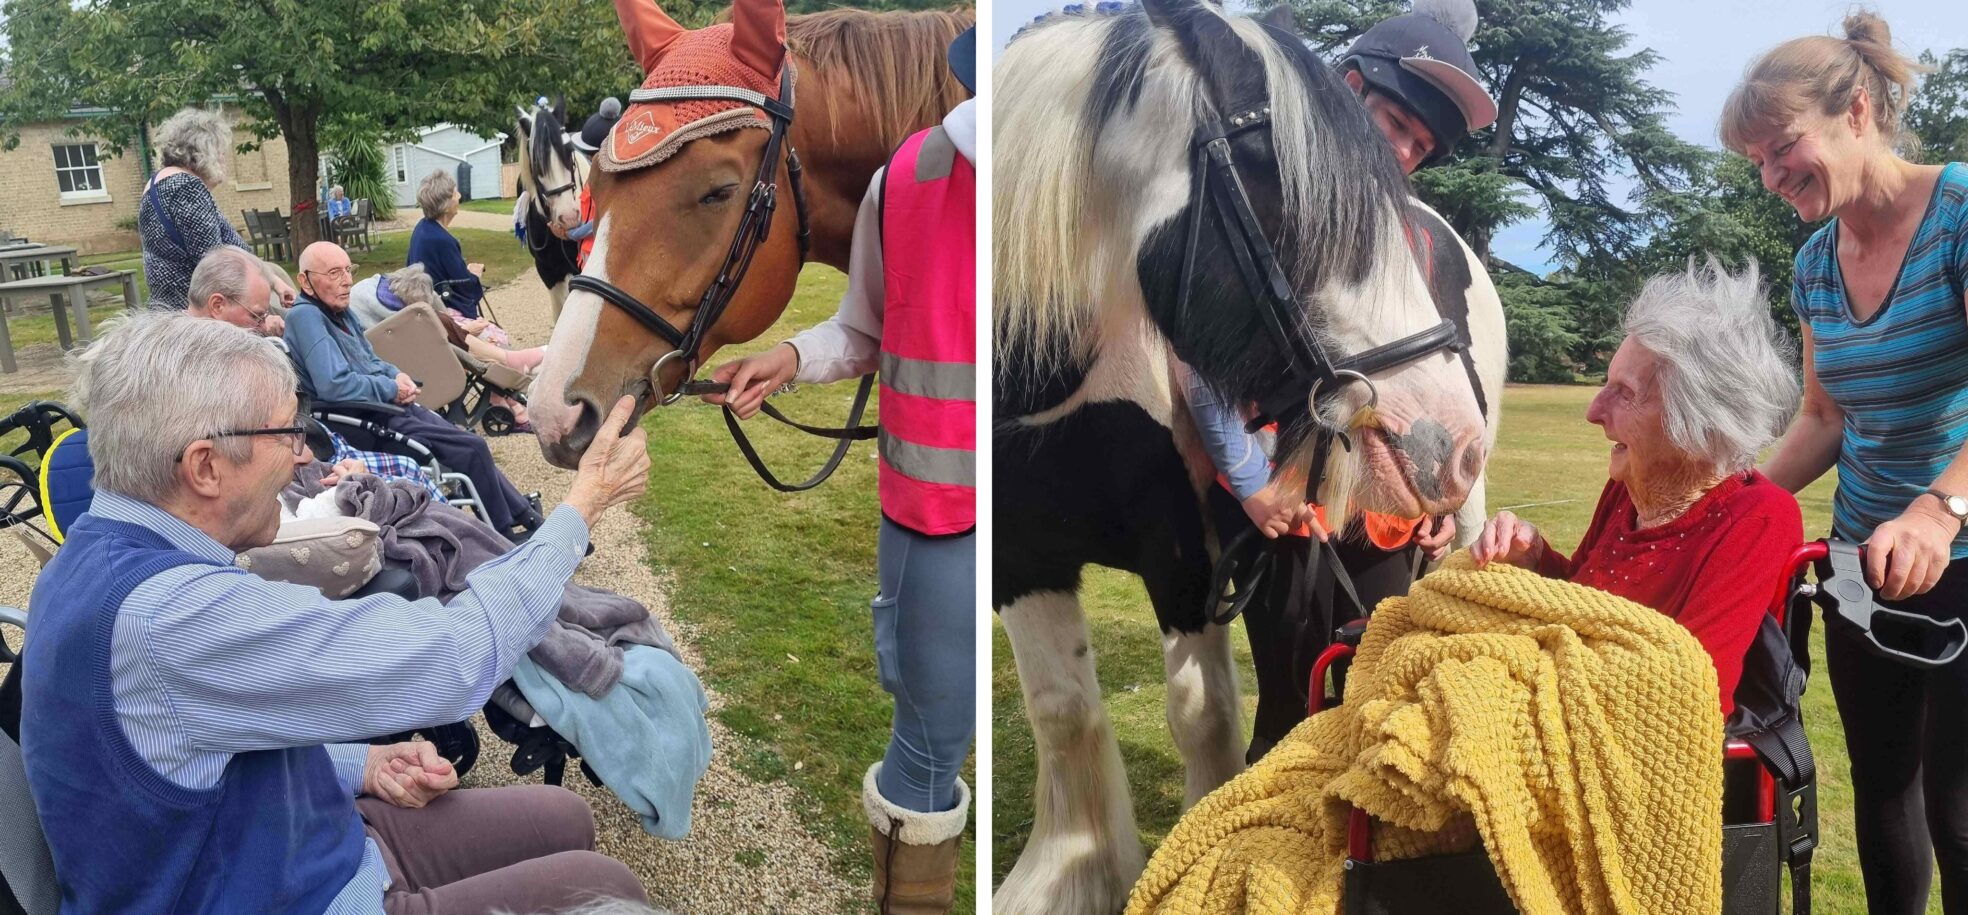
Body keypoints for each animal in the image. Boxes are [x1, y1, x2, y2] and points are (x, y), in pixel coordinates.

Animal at [999, 3, 1503, 909]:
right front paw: (1072, 873)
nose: (1458, 441)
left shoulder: (1185, 554)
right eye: (1297, 191)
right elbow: (1061, 709)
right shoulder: (1020, 547)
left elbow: (1202, 713)